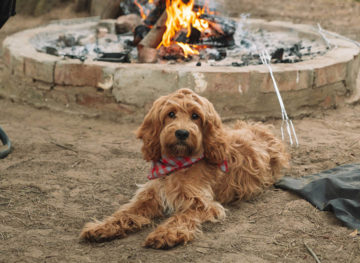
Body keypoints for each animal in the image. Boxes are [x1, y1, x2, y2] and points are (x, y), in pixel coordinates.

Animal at [80, 88, 288, 250]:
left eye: (195, 116)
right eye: (171, 114)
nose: (181, 133)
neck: (177, 165)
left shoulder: (201, 203)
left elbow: (181, 217)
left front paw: (166, 234)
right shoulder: (150, 195)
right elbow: (126, 212)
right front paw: (102, 227)